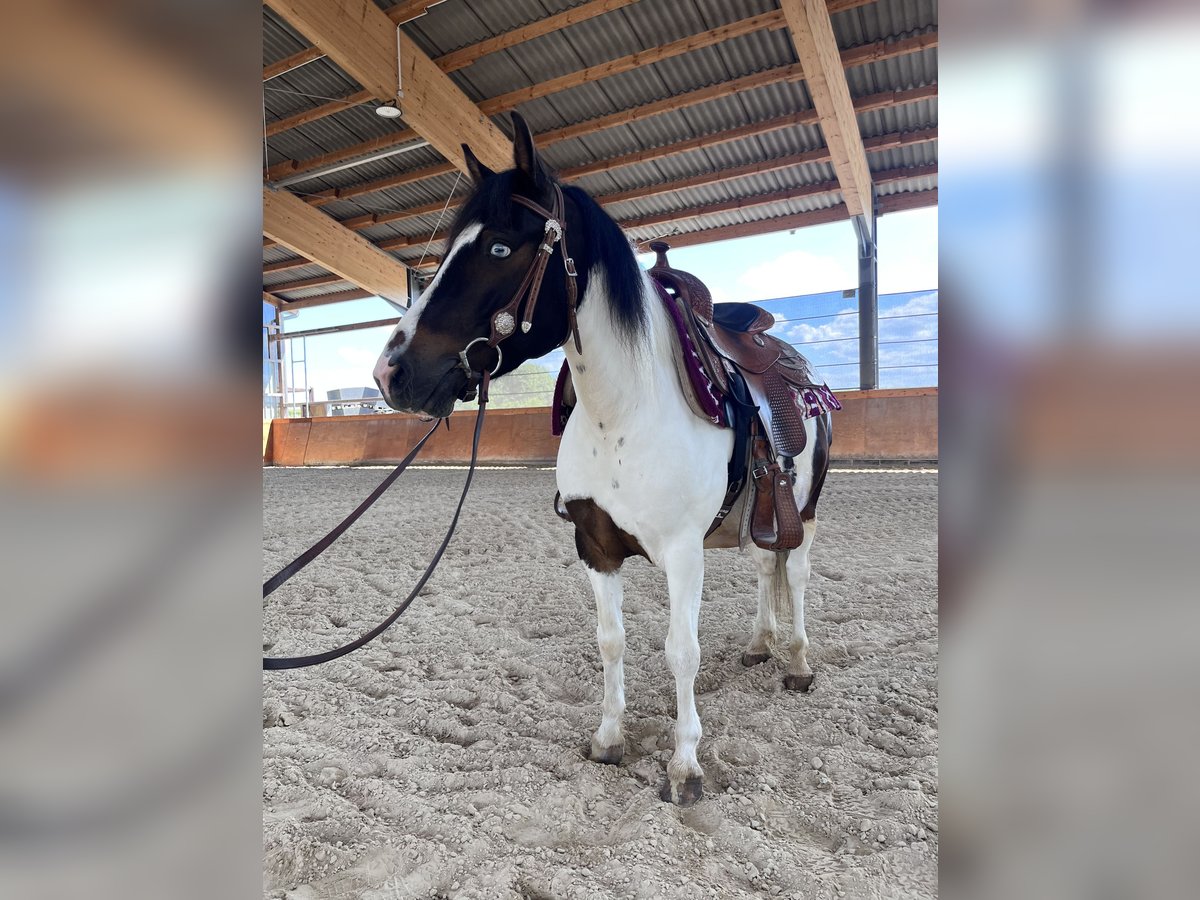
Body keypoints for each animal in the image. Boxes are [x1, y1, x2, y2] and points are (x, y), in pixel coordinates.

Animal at [374, 112, 835, 811]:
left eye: (501, 248)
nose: (391, 372)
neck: (623, 413)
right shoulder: (594, 544)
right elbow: (610, 640)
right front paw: (609, 738)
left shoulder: (683, 551)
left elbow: (681, 651)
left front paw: (684, 767)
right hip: (756, 516)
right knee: (764, 568)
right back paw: (760, 646)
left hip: (801, 510)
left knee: (798, 573)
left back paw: (799, 663)